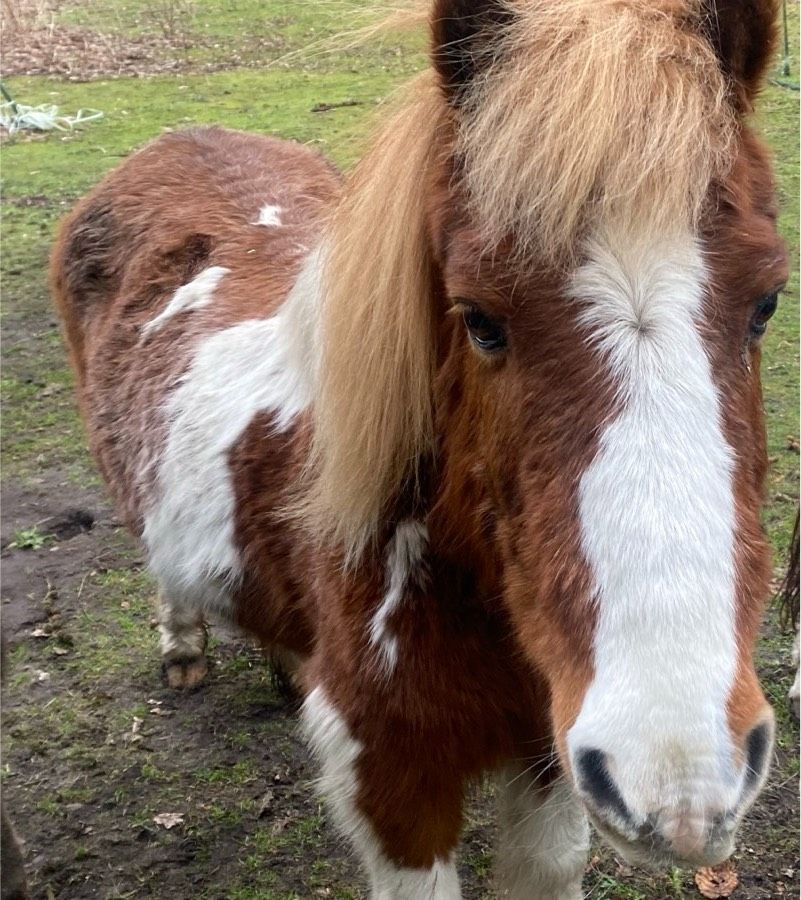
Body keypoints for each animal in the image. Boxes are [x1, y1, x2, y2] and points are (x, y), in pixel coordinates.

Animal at [51, 1, 788, 900]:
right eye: (478, 319)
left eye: (766, 302)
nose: (677, 774)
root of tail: (174, 138)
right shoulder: (391, 777)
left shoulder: (548, 749)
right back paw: (183, 645)